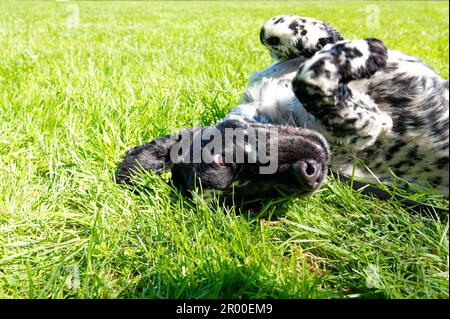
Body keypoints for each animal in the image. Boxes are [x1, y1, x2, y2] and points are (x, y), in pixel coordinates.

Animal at [118, 16, 448, 200]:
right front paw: (366, 51)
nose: (309, 175)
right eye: (253, 197)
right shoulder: (371, 126)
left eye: (222, 160)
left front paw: (325, 38)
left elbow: (271, 30)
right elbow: (311, 80)